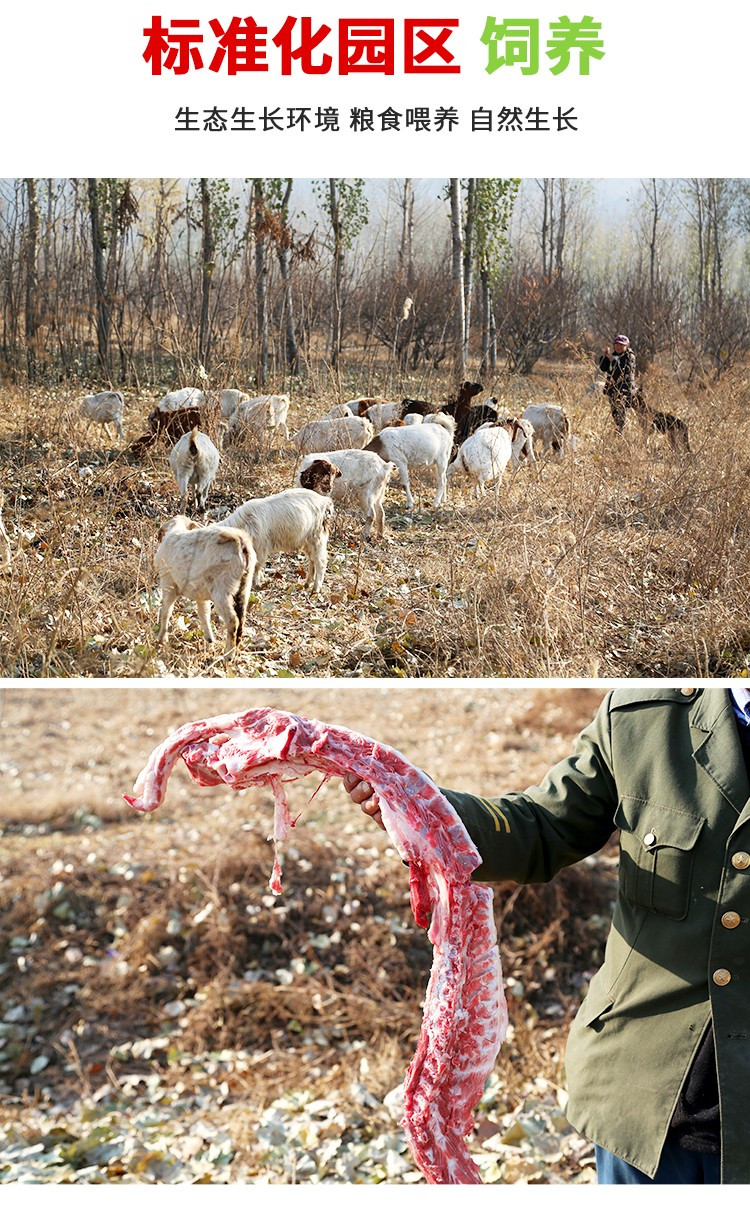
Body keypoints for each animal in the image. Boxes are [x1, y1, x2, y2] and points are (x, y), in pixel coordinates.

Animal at [153, 519, 256, 659]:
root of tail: (240, 541)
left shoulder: (168, 583)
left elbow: (166, 611)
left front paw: (161, 639)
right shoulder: (200, 595)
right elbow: (204, 614)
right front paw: (209, 640)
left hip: (222, 591)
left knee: (233, 621)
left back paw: (228, 655)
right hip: (244, 588)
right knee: (241, 619)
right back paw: (235, 650)